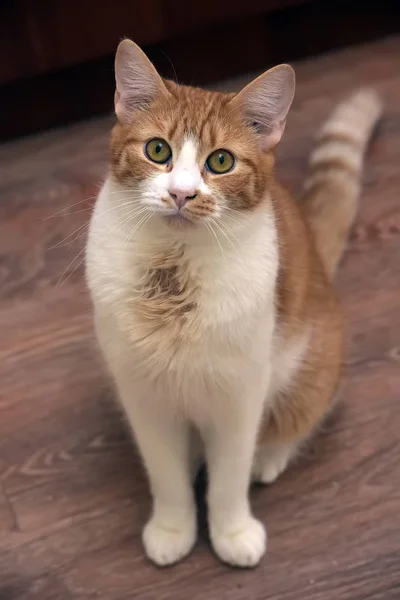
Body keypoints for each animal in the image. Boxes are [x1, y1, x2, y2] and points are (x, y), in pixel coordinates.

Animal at [85, 38, 382, 568]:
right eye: (157, 151)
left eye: (220, 161)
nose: (182, 193)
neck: (174, 275)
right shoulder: (144, 397)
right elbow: (166, 477)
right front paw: (173, 529)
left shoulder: (238, 398)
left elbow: (228, 481)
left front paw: (233, 532)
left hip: (308, 369)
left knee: (299, 419)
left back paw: (269, 457)